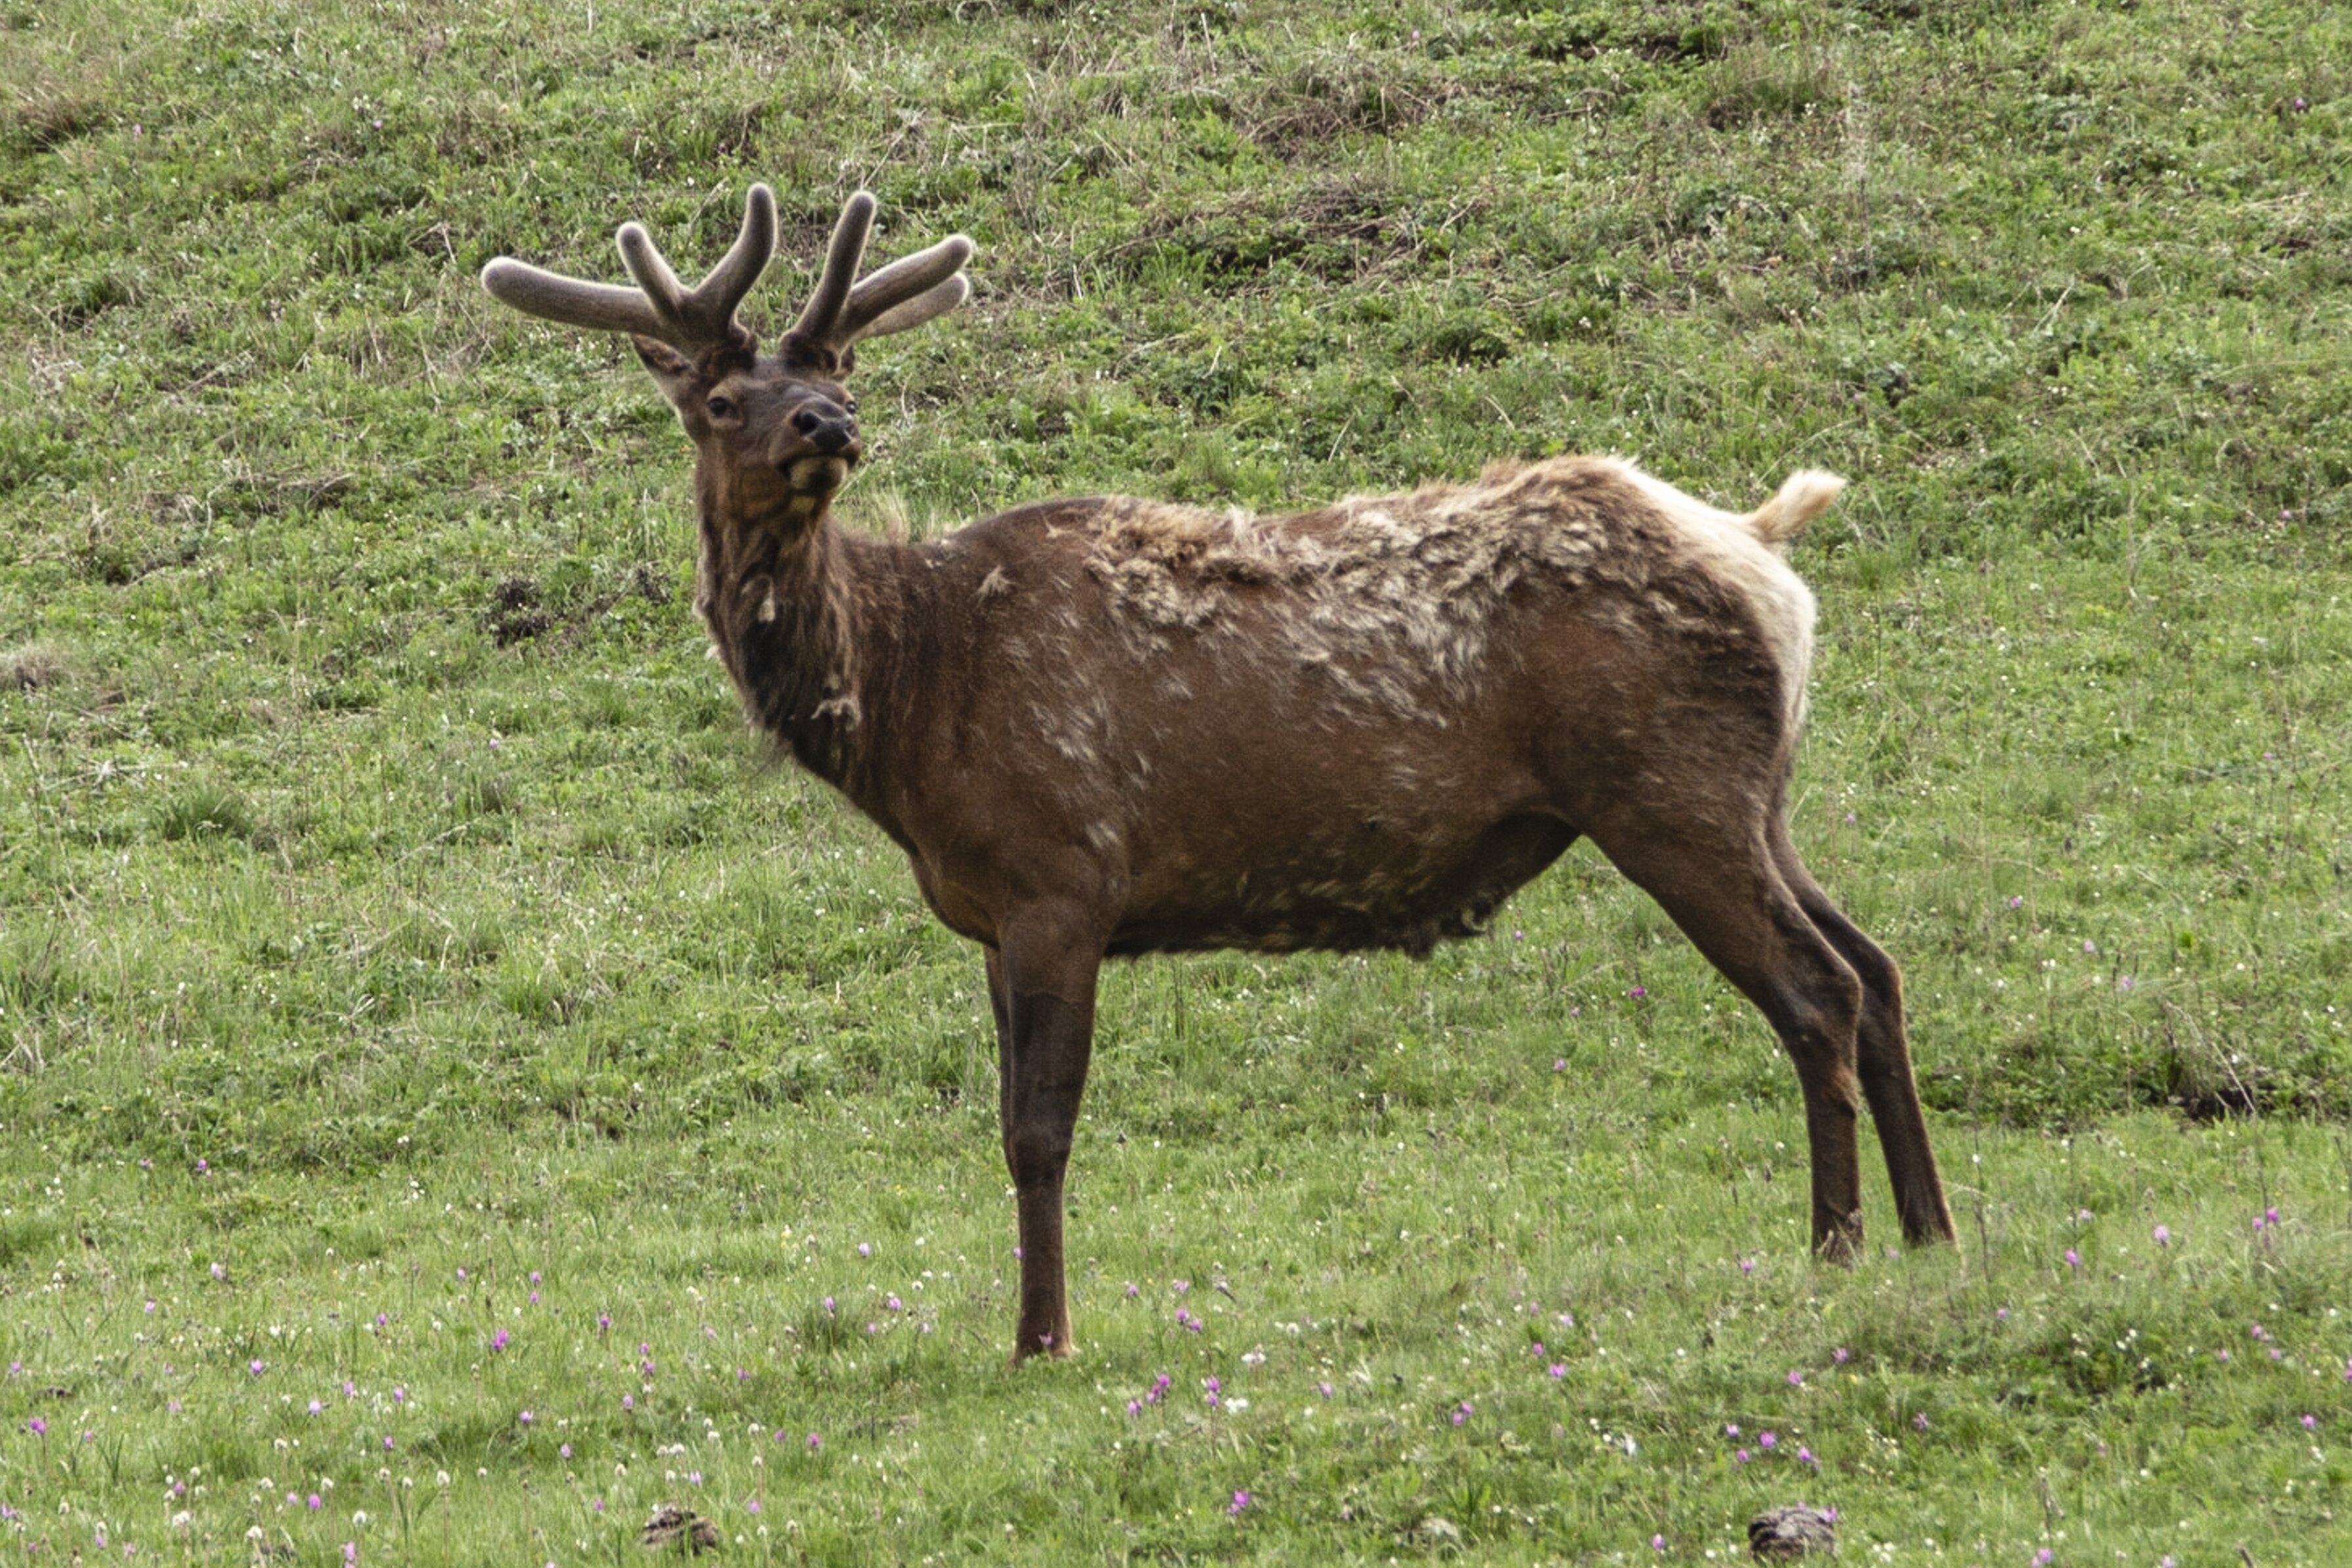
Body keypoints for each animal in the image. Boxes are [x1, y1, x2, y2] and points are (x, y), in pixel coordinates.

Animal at [473, 184, 1947, 1363]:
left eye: (839, 366)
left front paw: (1042, 1338)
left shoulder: (1059, 877)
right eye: (721, 397)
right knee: (1874, 965)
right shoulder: (992, 912)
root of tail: (1762, 548)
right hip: (1754, 793)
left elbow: (1036, 1129)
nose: (827, 423)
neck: (906, 708)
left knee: (1812, 988)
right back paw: (1930, 1231)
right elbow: (1009, 1122)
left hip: (1666, 792)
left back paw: (1833, 1246)